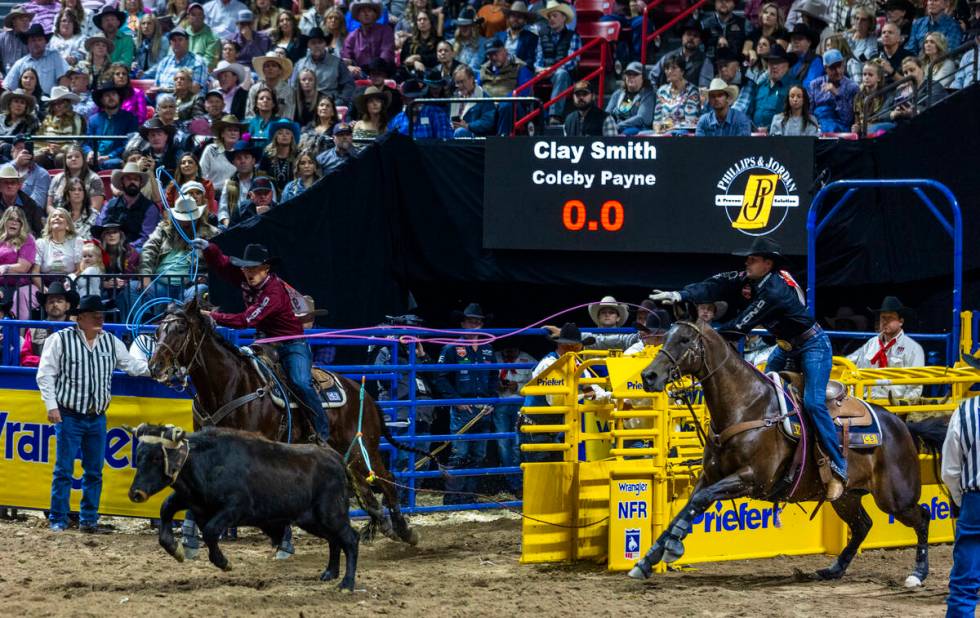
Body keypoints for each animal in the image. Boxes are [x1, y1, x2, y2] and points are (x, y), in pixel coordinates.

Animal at [148, 298, 422, 544]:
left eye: (180, 329)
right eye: (158, 331)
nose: (155, 366)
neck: (230, 384)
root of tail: (364, 394)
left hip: (362, 448)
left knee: (388, 480)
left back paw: (404, 531)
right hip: (349, 455)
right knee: (366, 490)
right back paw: (379, 526)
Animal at [628, 316, 936, 584]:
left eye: (684, 339)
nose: (649, 375)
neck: (748, 407)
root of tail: (901, 425)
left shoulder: (752, 478)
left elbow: (699, 501)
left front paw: (673, 544)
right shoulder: (711, 476)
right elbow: (690, 505)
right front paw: (647, 560)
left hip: (895, 497)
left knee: (922, 517)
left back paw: (918, 573)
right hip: (846, 497)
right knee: (862, 526)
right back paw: (833, 569)